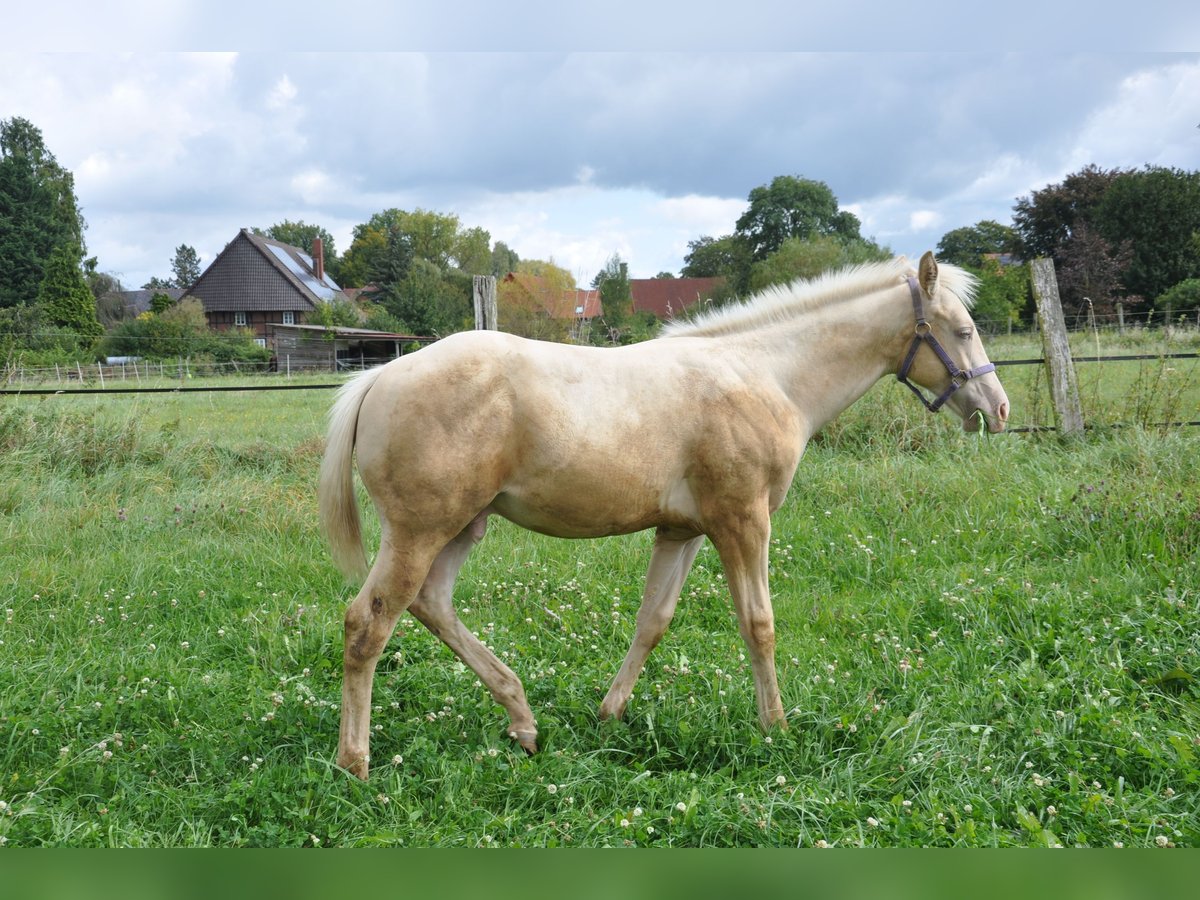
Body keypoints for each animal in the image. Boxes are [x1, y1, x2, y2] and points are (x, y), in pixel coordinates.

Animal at [316, 250, 1003, 777]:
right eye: (963, 330)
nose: (997, 410)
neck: (766, 375)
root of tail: (379, 377)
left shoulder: (684, 531)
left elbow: (653, 620)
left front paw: (609, 715)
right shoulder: (743, 522)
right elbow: (759, 624)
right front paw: (776, 728)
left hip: (463, 527)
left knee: (431, 604)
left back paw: (524, 720)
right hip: (421, 532)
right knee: (368, 623)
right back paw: (356, 762)